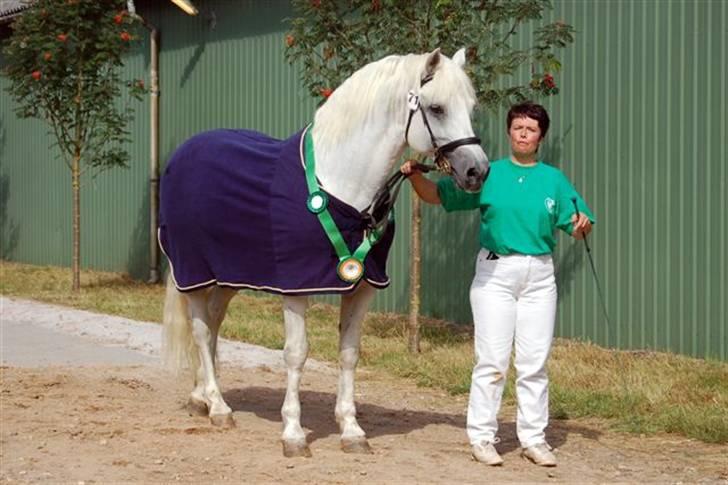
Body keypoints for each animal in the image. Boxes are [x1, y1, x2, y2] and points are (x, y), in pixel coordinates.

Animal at [160, 47, 490, 456]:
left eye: (471, 107)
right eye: (437, 107)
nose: (478, 171)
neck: (340, 185)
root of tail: (183, 154)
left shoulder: (363, 287)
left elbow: (349, 353)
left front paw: (351, 430)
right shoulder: (295, 286)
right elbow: (296, 353)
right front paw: (293, 434)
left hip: (228, 275)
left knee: (214, 324)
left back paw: (201, 397)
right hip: (193, 271)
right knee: (202, 331)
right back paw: (219, 408)